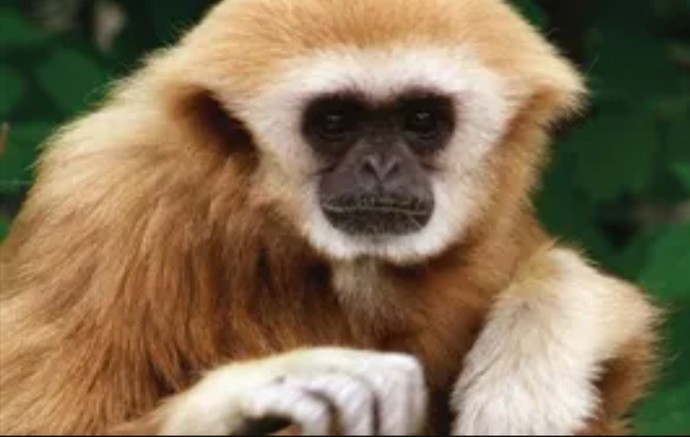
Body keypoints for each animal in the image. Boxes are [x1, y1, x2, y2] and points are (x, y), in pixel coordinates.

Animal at [0, 0, 659, 435]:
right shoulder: (99, 203)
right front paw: (251, 392)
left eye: (422, 119)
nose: (380, 167)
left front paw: (530, 364)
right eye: (335, 121)